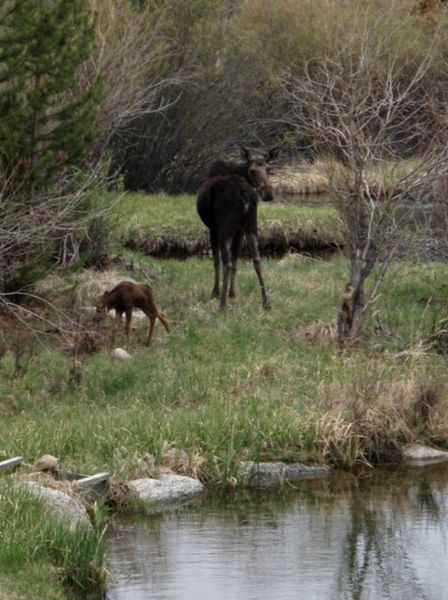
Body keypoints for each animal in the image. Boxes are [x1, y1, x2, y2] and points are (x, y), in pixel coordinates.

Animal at [199, 148, 278, 312]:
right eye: (253, 171)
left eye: (269, 169)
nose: (268, 193)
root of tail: (244, 195)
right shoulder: (240, 231)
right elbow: (236, 260)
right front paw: (232, 293)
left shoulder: (213, 228)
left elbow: (216, 261)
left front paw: (215, 292)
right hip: (251, 226)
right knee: (257, 259)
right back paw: (266, 302)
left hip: (225, 228)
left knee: (225, 262)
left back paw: (222, 304)